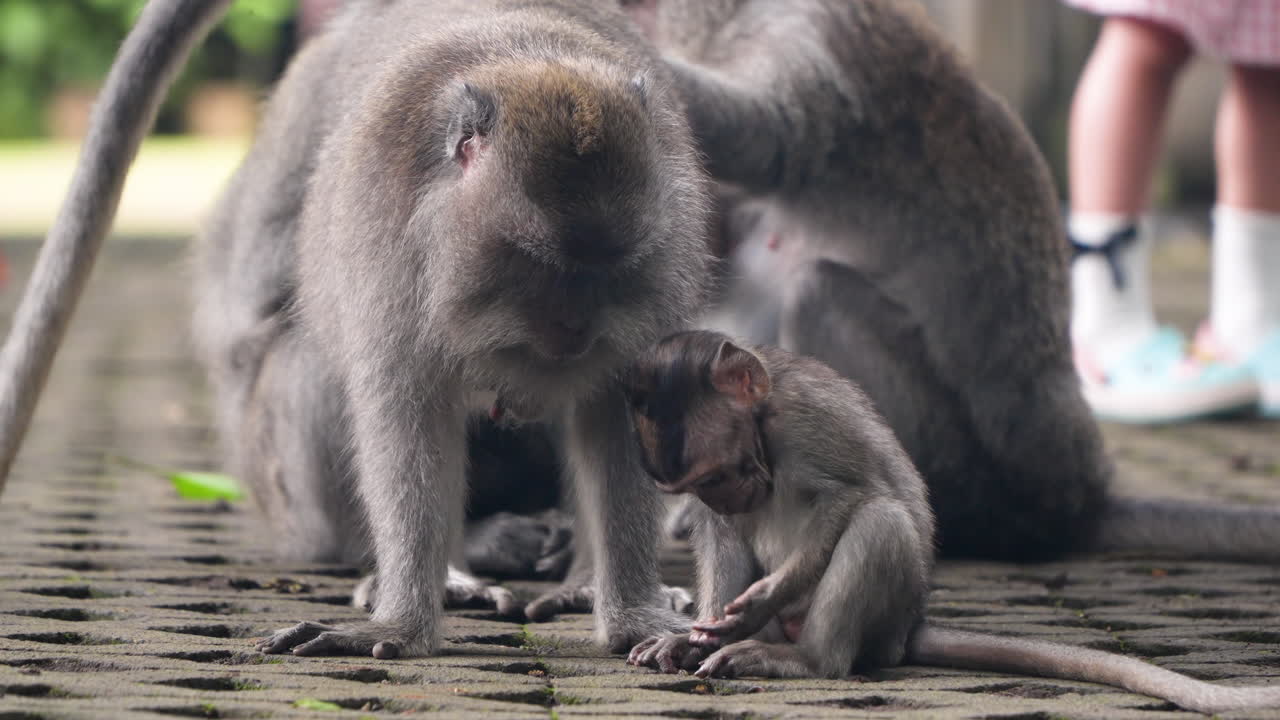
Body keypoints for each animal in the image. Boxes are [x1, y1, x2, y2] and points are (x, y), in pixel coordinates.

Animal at [0, 0, 714, 659]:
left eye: (612, 265)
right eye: (536, 260)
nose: (571, 326)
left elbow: (617, 412)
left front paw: (631, 612)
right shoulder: (386, 244)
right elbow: (400, 408)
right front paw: (402, 622)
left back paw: (576, 575)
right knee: (308, 362)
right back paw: (456, 559)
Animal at [623, 330, 1280, 715]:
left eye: (720, 471)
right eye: (703, 484)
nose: (731, 495)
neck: (764, 424)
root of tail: (907, 628)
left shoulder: (808, 421)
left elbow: (848, 498)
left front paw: (758, 599)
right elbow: (722, 536)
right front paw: (695, 634)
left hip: (882, 617)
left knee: (879, 521)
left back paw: (809, 660)